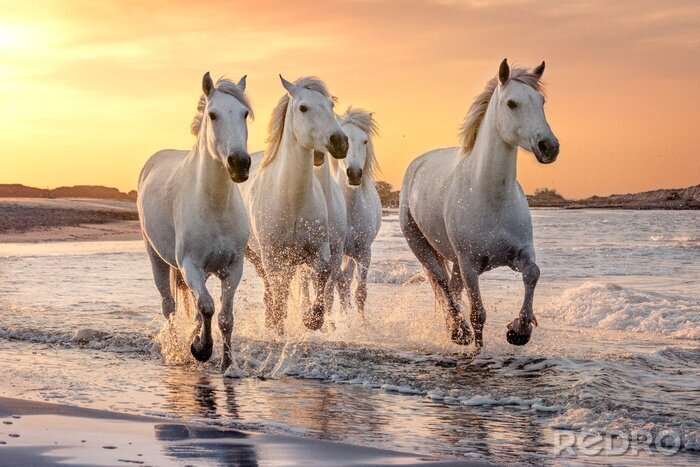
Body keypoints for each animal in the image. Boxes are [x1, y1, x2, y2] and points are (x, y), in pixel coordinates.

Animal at [137, 73, 253, 371]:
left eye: (245, 114)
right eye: (213, 115)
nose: (239, 163)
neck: (215, 205)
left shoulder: (233, 268)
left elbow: (224, 317)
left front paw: (228, 364)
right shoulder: (190, 265)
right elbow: (208, 307)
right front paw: (201, 349)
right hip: (157, 259)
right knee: (169, 306)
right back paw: (176, 349)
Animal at [245, 76, 348, 335]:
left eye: (331, 105)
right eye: (303, 108)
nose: (340, 142)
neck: (292, 200)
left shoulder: (319, 250)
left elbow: (322, 275)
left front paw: (312, 319)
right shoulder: (272, 256)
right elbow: (279, 292)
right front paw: (278, 323)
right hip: (255, 255)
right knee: (270, 286)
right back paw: (271, 319)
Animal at [399, 59, 559, 348]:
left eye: (541, 101)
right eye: (511, 103)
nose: (549, 147)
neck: (491, 198)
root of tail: (417, 164)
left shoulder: (520, 254)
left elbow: (533, 273)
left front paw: (519, 330)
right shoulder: (470, 264)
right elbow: (478, 314)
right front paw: (478, 347)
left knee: (452, 288)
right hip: (421, 246)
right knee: (442, 283)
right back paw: (458, 331)